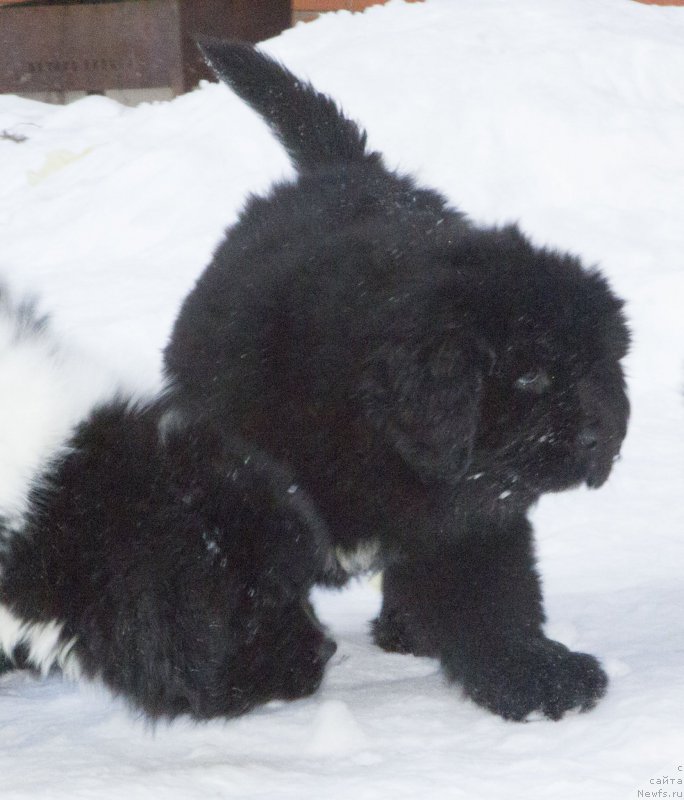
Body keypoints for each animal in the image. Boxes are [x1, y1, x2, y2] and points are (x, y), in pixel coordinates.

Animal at [164, 40, 632, 720]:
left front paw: (538, 675)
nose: (605, 440)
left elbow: (494, 597)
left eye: (601, 370)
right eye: (531, 377)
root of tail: (347, 171)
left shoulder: (470, 517)